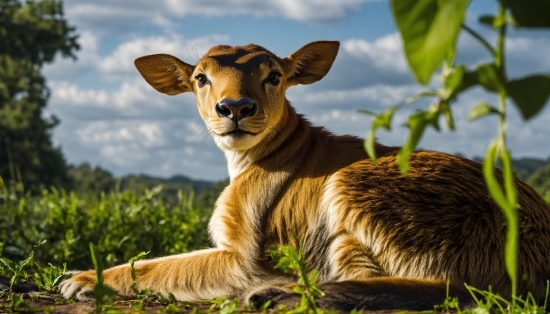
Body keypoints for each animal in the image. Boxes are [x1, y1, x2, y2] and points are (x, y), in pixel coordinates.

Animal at [59, 40, 550, 310]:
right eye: (200, 77)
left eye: (274, 75)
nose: (234, 107)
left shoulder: (243, 255)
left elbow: (162, 267)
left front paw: (80, 280)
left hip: (354, 189)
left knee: (443, 288)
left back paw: (275, 294)